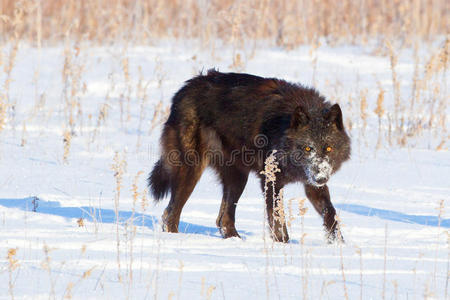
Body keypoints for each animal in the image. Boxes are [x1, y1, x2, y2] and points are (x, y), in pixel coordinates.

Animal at [149, 70, 350, 244]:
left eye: (329, 148)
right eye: (308, 148)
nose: (321, 177)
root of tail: (184, 88)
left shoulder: (311, 184)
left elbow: (330, 213)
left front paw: (339, 245)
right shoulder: (271, 179)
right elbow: (278, 221)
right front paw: (283, 246)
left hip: (237, 177)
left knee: (223, 219)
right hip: (192, 170)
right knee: (170, 214)